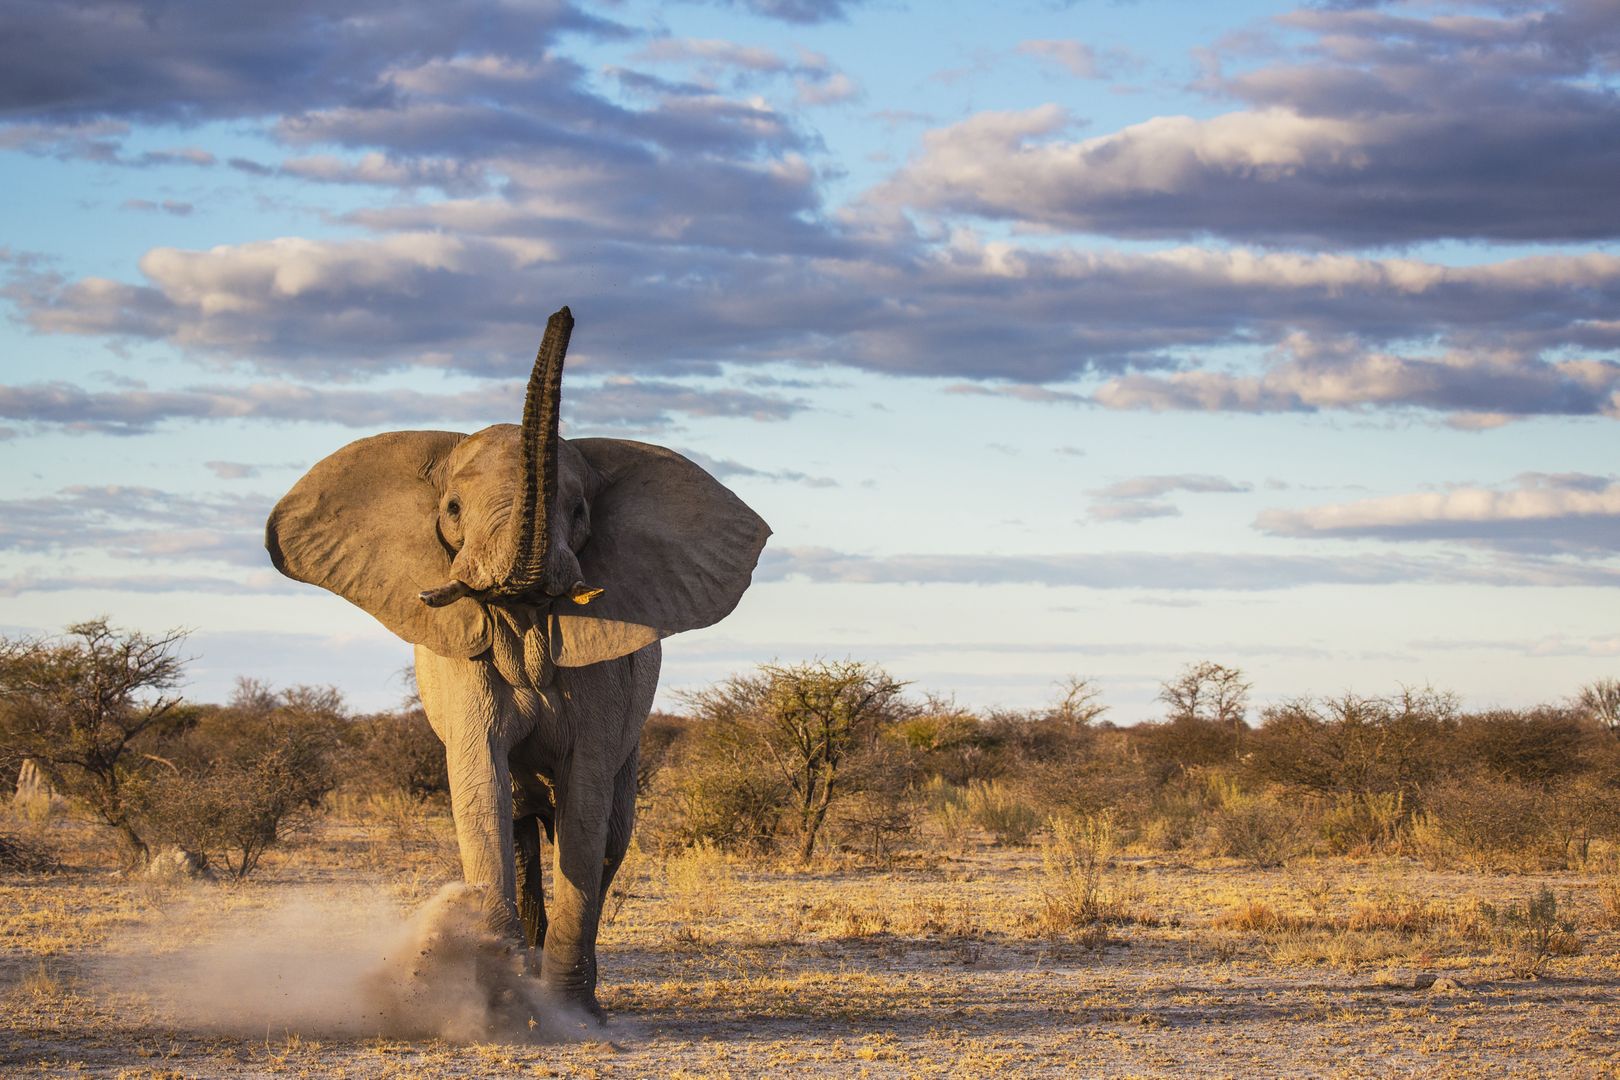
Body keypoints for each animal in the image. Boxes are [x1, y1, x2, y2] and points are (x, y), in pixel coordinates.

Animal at [265, 307, 771, 1016]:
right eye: (452, 509)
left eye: (579, 510)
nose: (563, 314)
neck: (521, 609)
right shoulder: (462, 663)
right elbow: (481, 790)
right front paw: (498, 1001)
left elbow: (585, 810)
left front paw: (570, 1014)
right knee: (522, 826)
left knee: (609, 833)